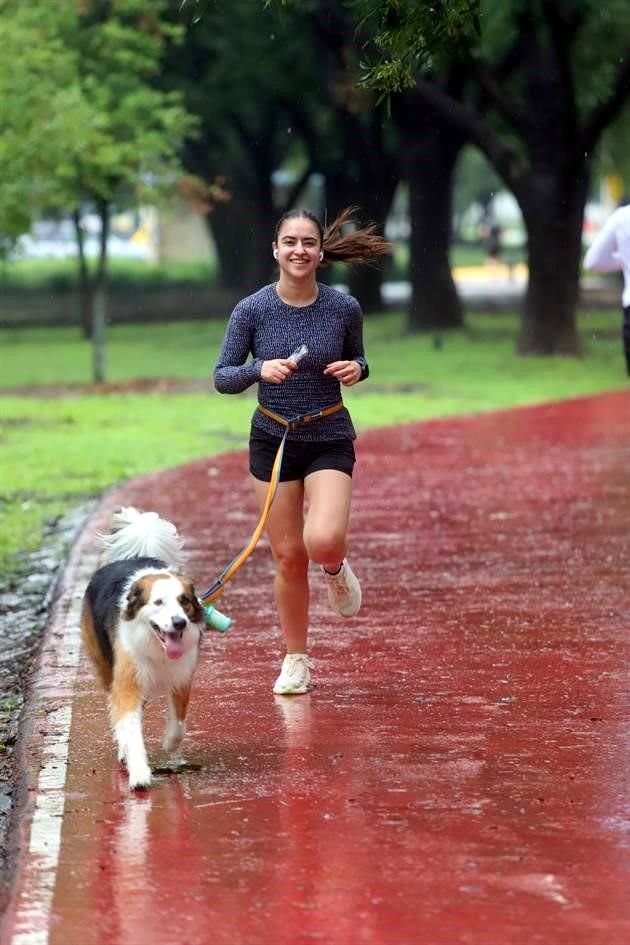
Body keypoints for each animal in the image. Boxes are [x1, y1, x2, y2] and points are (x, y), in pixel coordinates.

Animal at [80, 508, 206, 788]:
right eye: (158, 602)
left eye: (184, 601)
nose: (179, 622)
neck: (156, 646)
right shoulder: (126, 682)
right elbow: (130, 730)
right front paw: (139, 772)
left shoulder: (182, 676)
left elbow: (178, 724)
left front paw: (170, 745)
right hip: (106, 667)